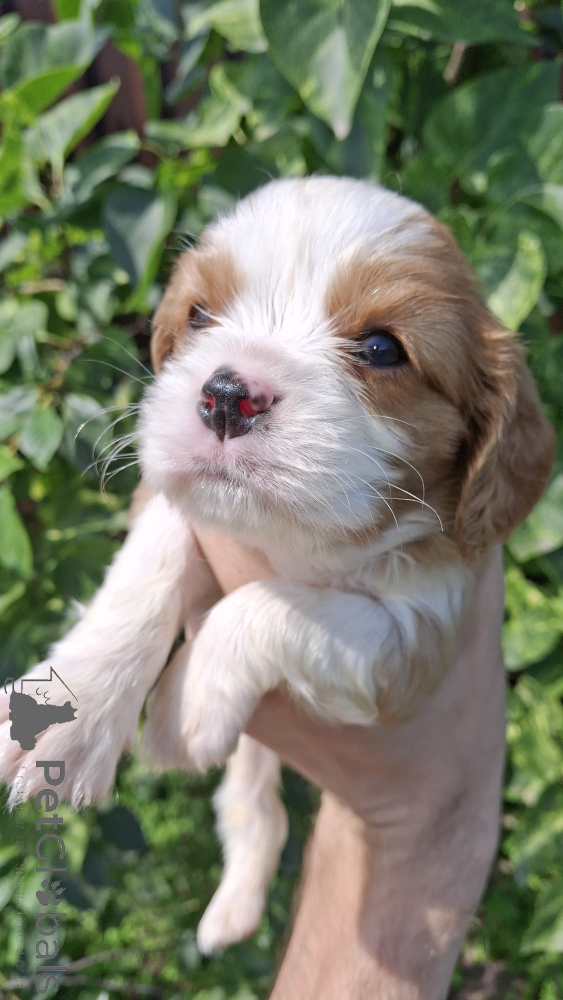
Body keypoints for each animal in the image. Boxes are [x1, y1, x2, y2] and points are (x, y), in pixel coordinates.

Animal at [0, 177, 554, 953]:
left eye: (381, 347)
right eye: (198, 315)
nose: (228, 394)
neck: (296, 540)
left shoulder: (418, 639)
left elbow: (269, 605)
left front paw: (182, 709)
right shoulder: (165, 502)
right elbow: (149, 565)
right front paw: (72, 710)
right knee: (251, 809)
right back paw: (228, 913)